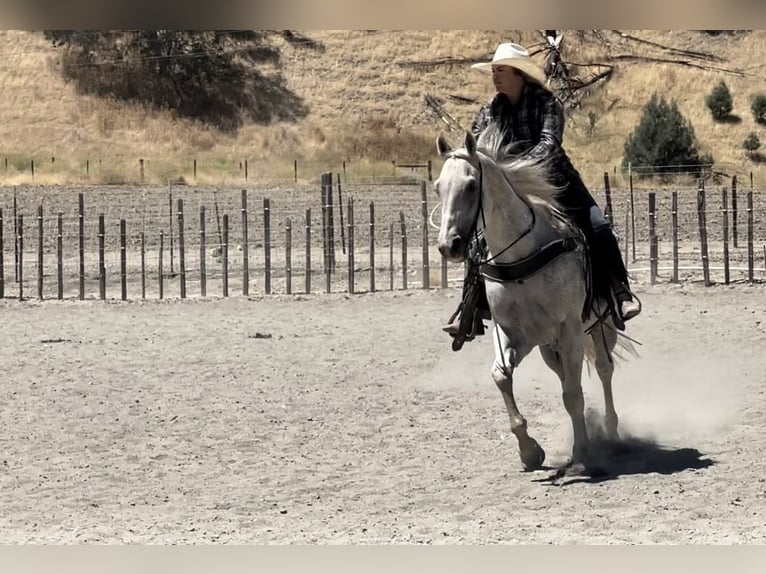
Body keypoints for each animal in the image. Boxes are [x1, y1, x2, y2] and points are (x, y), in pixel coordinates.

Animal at [438, 130, 636, 476]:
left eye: (471, 185)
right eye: (438, 186)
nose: (449, 245)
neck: (522, 256)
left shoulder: (570, 331)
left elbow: (573, 395)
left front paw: (581, 454)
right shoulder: (513, 334)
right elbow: (502, 376)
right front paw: (530, 453)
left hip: (600, 329)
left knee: (603, 369)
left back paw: (611, 432)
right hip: (549, 348)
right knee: (566, 376)